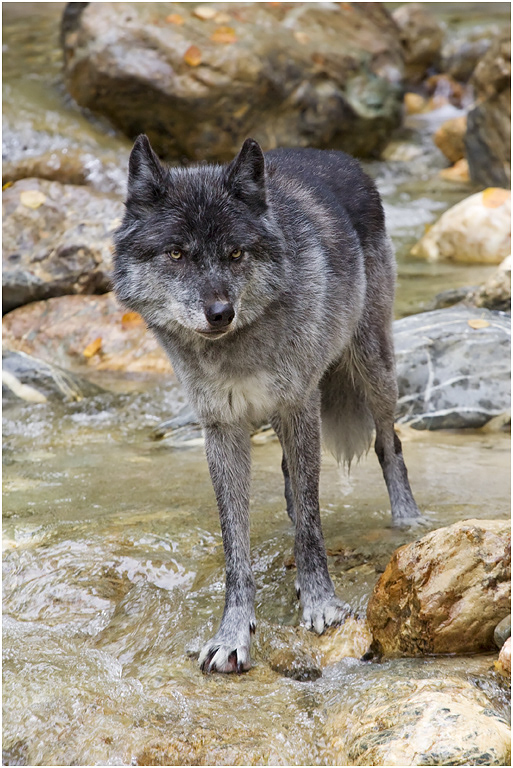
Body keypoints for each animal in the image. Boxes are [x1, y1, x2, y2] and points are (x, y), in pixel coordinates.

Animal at [113, 135, 421, 673]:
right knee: (290, 478)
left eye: (236, 253)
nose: (220, 313)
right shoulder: (222, 428)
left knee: (389, 443)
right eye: (176, 253)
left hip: (372, 369)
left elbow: (314, 522)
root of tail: (333, 154)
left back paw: (406, 517)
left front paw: (320, 602)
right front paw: (233, 633)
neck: (237, 348)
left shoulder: (300, 405)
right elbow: (236, 544)